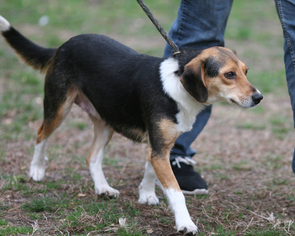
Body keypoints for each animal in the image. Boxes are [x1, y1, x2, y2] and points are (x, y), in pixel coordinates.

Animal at [0, 15, 264, 235]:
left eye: (246, 71)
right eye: (229, 75)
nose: (259, 97)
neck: (177, 84)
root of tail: (63, 46)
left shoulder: (160, 146)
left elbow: (150, 170)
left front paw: (146, 195)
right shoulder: (159, 148)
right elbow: (176, 192)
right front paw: (185, 223)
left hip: (106, 121)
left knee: (92, 156)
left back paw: (103, 188)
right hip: (58, 108)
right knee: (41, 134)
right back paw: (37, 170)